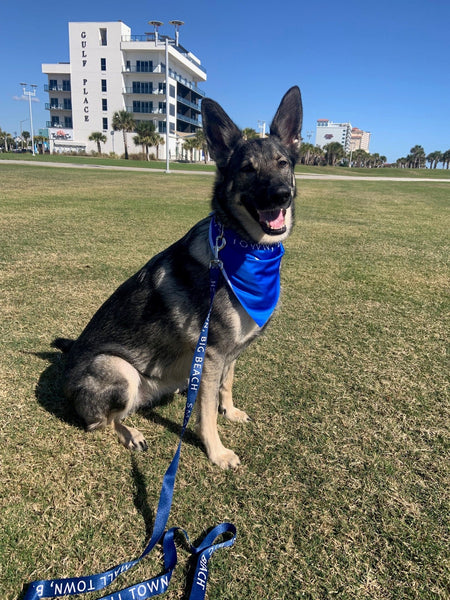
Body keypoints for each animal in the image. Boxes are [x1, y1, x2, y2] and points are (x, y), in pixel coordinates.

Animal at [53, 85, 302, 468]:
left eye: (283, 163)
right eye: (247, 169)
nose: (281, 195)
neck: (246, 250)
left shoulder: (229, 354)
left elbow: (226, 385)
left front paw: (229, 410)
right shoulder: (213, 353)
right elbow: (206, 413)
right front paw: (216, 451)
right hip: (120, 369)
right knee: (103, 422)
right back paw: (131, 433)